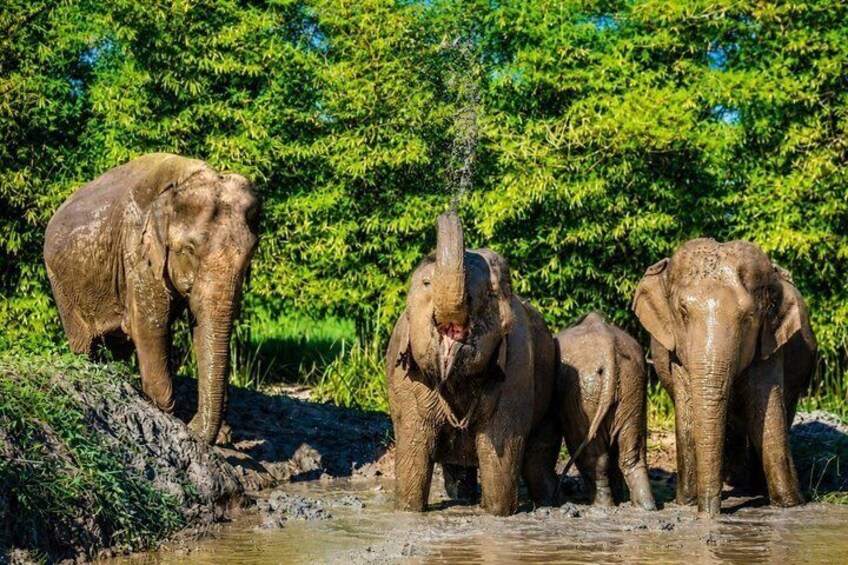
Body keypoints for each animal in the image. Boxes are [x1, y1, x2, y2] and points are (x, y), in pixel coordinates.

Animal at [44, 153, 259, 444]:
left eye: (250, 253)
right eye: (190, 250)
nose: (194, 428)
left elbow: (201, 329)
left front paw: (221, 434)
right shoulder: (137, 250)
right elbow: (150, 327)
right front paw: (167, 415)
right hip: (61, 284)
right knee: (83, 342)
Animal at [385, 212, 560, 516]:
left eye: (489, 294)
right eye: (426, 284)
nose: (449, 210)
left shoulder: (517, 370)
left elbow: (501, 445)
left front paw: (497, 513)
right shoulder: (405, 376)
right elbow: (414, 443)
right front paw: (408, 510)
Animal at [555, 312, 656, 510]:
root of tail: (608, 350)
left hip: (583, 392)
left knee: (589, 452)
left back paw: (601, 505)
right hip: (633, 382)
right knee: (631, 452)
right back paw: (645, 507)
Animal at [633, 238, 816, 516]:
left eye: (748, 316)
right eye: (683, 313)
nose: (709, 513)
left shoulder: (769, 341)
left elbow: (767, 414)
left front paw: (789, 506)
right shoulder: (677, 351)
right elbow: (687, 417)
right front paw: (686, 503)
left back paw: (750, 487)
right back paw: (737, 484)